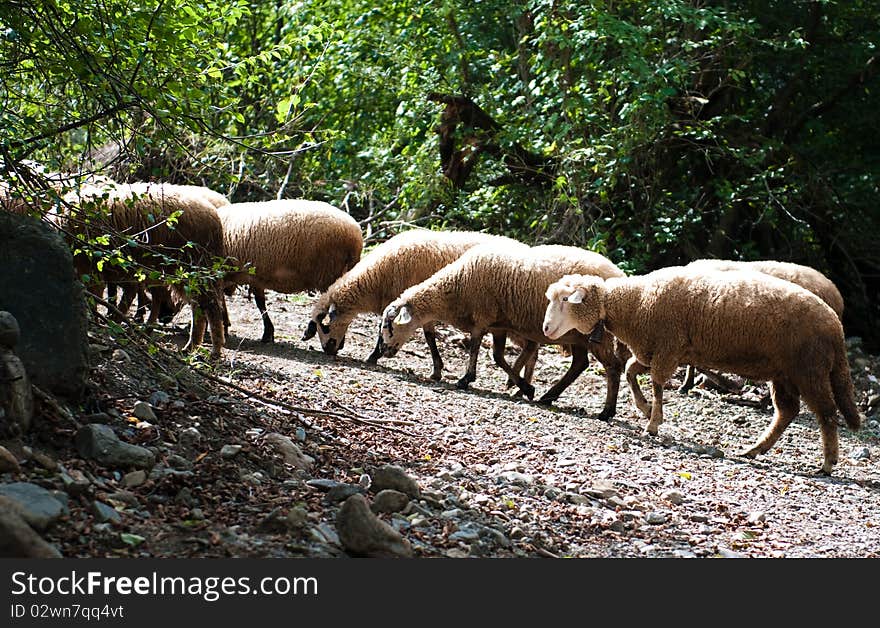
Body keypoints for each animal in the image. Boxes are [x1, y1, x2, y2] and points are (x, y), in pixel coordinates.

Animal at [218, 199, 362, 344]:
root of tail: (356, 237)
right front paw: (267, 333)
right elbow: (260, 303)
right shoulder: (256, 277)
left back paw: (310, 332)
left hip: (329, 272)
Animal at [302, 229, 524, 380]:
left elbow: (387, 330)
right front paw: (437, 370)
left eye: (324, 325)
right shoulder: (420, 310)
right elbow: (429, 337)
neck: (375, 278)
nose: (328, 350)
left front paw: (373, 356)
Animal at [378, 240, 632, 418]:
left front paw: (466, 379)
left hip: (594, 334)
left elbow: (476, 349)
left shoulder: (482, 318)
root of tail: (620, 275)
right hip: (576, 335)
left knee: (612, 367)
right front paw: (526, 387)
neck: (455, 288)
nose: (382, 352)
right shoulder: (497, 325)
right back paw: (548, 396)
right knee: (580, 364)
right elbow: (498, 357)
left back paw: (607, 411)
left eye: (389, 325)